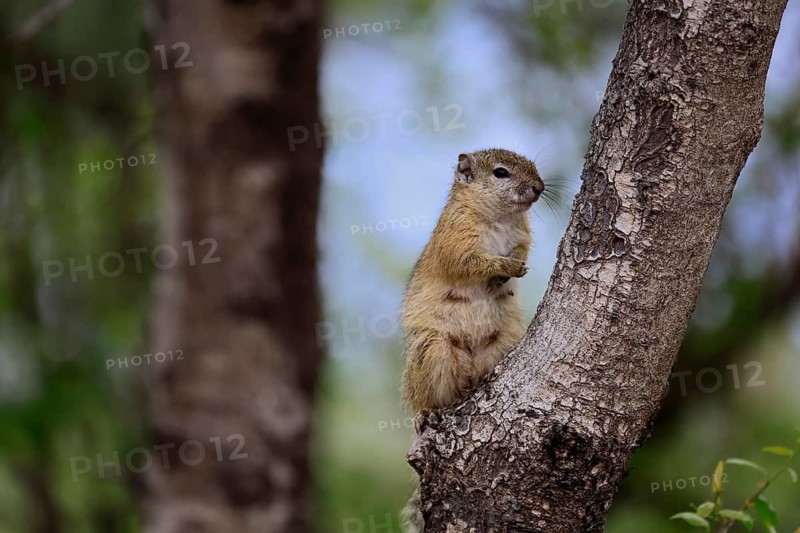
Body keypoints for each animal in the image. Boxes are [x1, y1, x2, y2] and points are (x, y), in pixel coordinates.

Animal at [401, 148, 544, 418]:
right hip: (431, 349)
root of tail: (469, 376)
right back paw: (424, 414)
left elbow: (521, 251)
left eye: (533, 165)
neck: (499, 218)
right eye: (500, 172)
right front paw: (506, 268)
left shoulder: (523, 237)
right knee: (426, 395)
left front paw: (511, 268)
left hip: (503, 340)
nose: (539, 188)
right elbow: (467, 263)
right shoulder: (454, 241)